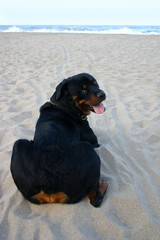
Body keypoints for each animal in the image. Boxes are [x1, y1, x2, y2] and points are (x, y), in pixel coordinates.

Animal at [10, 72, 108, 206]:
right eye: (83, 91)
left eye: (95, 83)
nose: (102, 94)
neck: (64, 105)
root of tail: (49, 183)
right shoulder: (92, 140)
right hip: (88, 150)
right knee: (95, 199)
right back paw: (104, 184)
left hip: (18, 145)